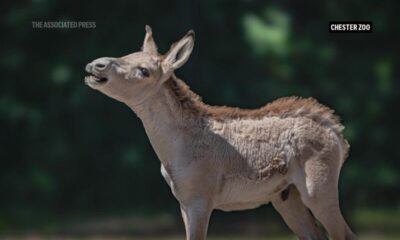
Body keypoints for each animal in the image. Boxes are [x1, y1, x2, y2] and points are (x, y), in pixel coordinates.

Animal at [84, 26, 356, 240]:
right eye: (127, 54)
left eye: (144, 70)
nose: (96, 64)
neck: (170, 151)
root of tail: (339, 137)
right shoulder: (183, 201)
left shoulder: (200, 199)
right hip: (287, 196)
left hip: (318, 189)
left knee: (344, 234)